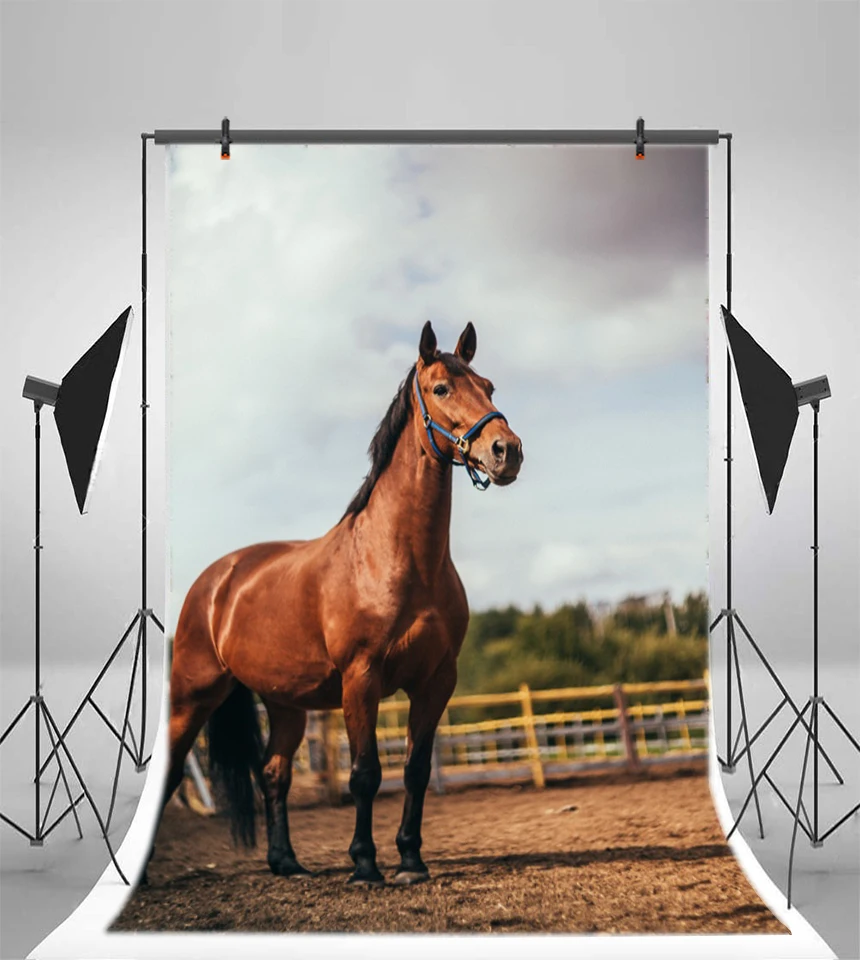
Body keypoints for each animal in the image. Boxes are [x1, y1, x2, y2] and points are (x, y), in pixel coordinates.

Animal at [155, 320, 523, 888]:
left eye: (489, 386)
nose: (507, 451)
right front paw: (365, 865)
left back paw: (286, 862)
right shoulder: (361, 678)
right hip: (192, 697)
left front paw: (411, 861)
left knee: (274, 774)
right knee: (172, 771)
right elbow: (365, 773)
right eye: (441, 389)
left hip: (285, 705)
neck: (396, 558)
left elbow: (415, 770)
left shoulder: (436, 681)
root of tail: (215, 583)